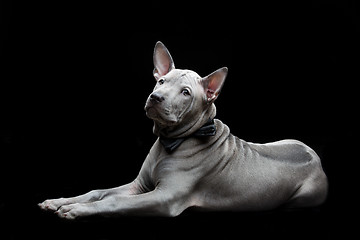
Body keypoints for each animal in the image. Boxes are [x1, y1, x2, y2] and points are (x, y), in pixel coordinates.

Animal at [38, 41, 328, 219]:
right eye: (161, 81)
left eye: (186, 92)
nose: (156, 97)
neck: (171, 142)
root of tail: (316, 158)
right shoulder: (138, 186)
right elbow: (97, 192)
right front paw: (62, 201)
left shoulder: (163, 198)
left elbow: (113, 201)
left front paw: (76, 210)